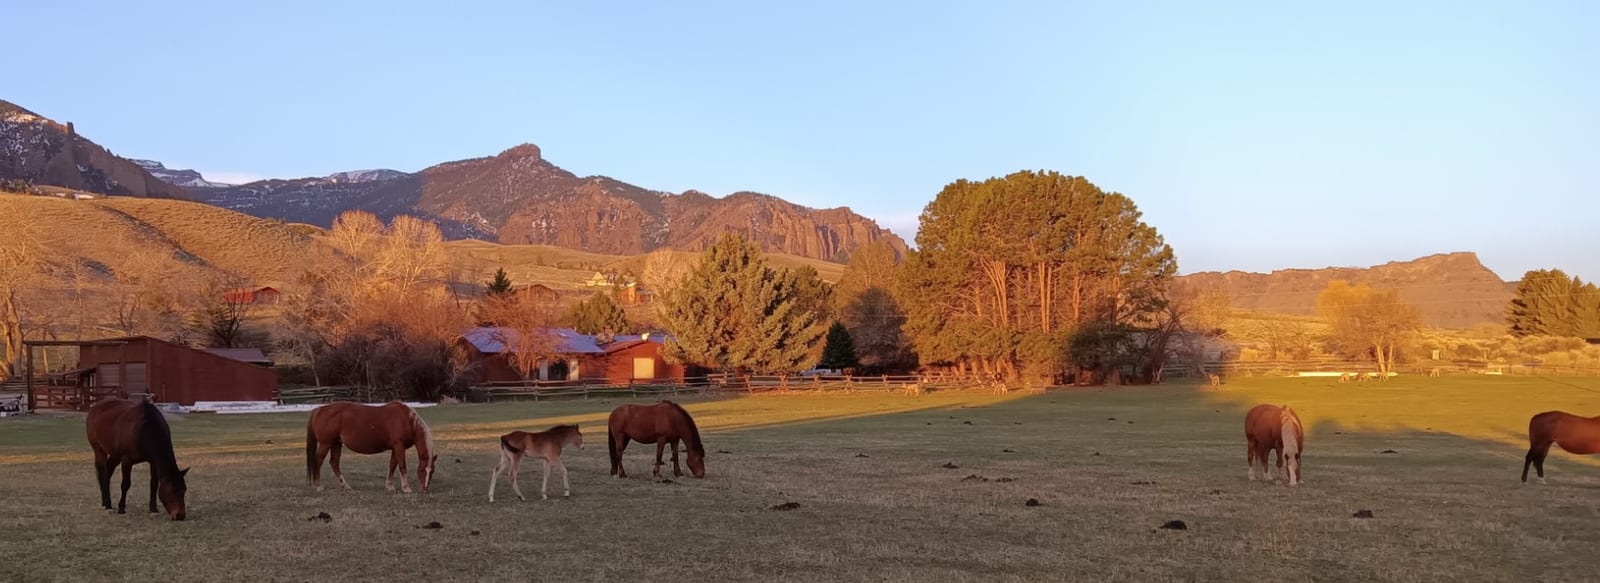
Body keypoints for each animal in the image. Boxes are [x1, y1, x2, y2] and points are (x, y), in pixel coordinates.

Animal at [306, 401, 437, 493]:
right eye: (422, 470)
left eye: (432, 471)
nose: (425, 489)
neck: (407, 420)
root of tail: (319, 410)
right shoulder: (399, 446)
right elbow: (402, 466)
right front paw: (406, 488)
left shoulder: (396, 448)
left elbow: (392, 466)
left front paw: (389, 486)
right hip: (326, 444)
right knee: (318, 460)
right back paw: (318, 486)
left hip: (336, 443)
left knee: (334, 463)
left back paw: (346, 486)